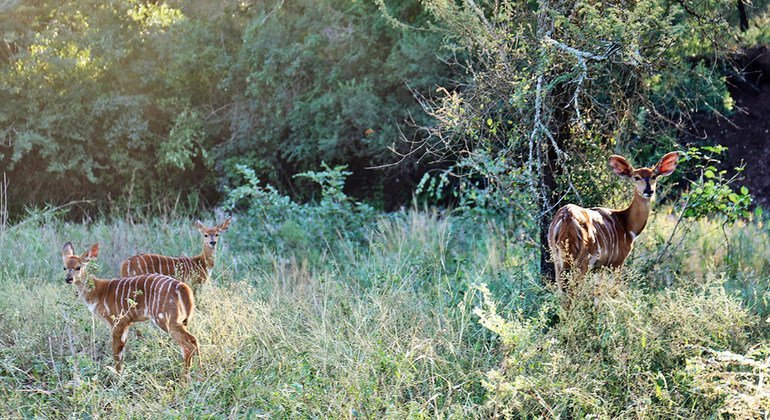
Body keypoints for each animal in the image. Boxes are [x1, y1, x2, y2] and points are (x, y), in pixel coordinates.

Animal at [61, 241, 198, 376]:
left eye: (78, 267)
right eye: (64, 267)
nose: (68, 279)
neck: (99, 292)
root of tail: (183, 287)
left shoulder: (117, 322)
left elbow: (116, 353)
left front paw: (118, 378)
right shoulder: (126, 323)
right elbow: (121, 352)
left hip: (167, 320)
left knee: (190, 343)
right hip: (181, 321)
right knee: (190, 343)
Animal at [544, 151, 680, 288]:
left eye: (654, 176)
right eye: (636, 177)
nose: (649, 191)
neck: (626, 224)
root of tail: (566, 218)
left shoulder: (600, 267)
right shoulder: (617, 262)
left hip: (557, 259)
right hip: (582, 261)